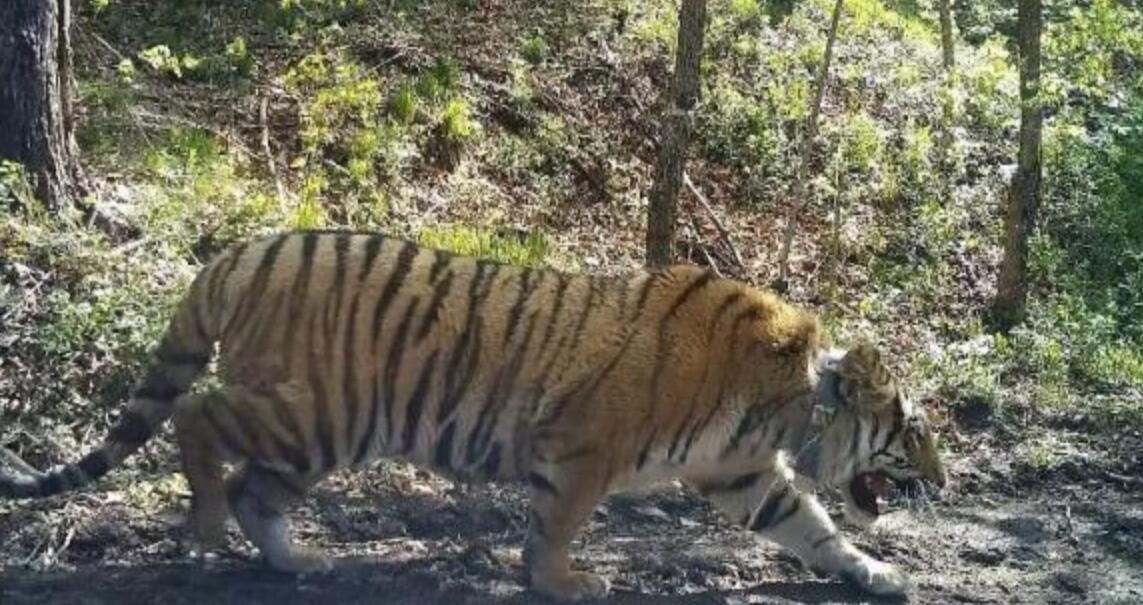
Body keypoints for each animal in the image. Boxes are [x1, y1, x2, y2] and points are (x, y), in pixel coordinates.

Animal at [0, 230, 946, 601]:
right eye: (912, 428)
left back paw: (297, 559)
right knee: (198, 420)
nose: (941, 480)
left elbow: (813, 526)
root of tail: (243, 249)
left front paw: (875, 572)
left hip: (319, 434)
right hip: (309, 411)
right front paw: (563, 581)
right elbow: (559, 522)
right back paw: (200, 531)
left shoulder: (741, 473)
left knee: (253, 489)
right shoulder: (587, 448)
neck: (783, 408)